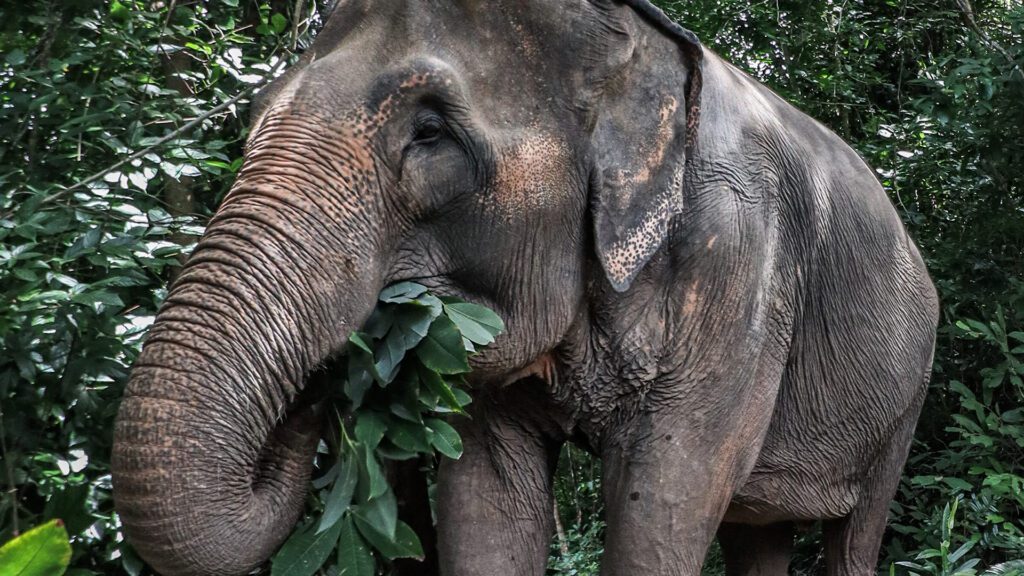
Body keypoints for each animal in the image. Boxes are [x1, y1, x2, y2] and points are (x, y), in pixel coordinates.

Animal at [110, 1, 937, 573]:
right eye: (254, 118)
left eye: (431, 131)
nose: (323, 392)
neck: (637, 44)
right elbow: (487, 498)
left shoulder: (738, 262)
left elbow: (666, 497)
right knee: (755, 534)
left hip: (908, 397)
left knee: (854, 536)